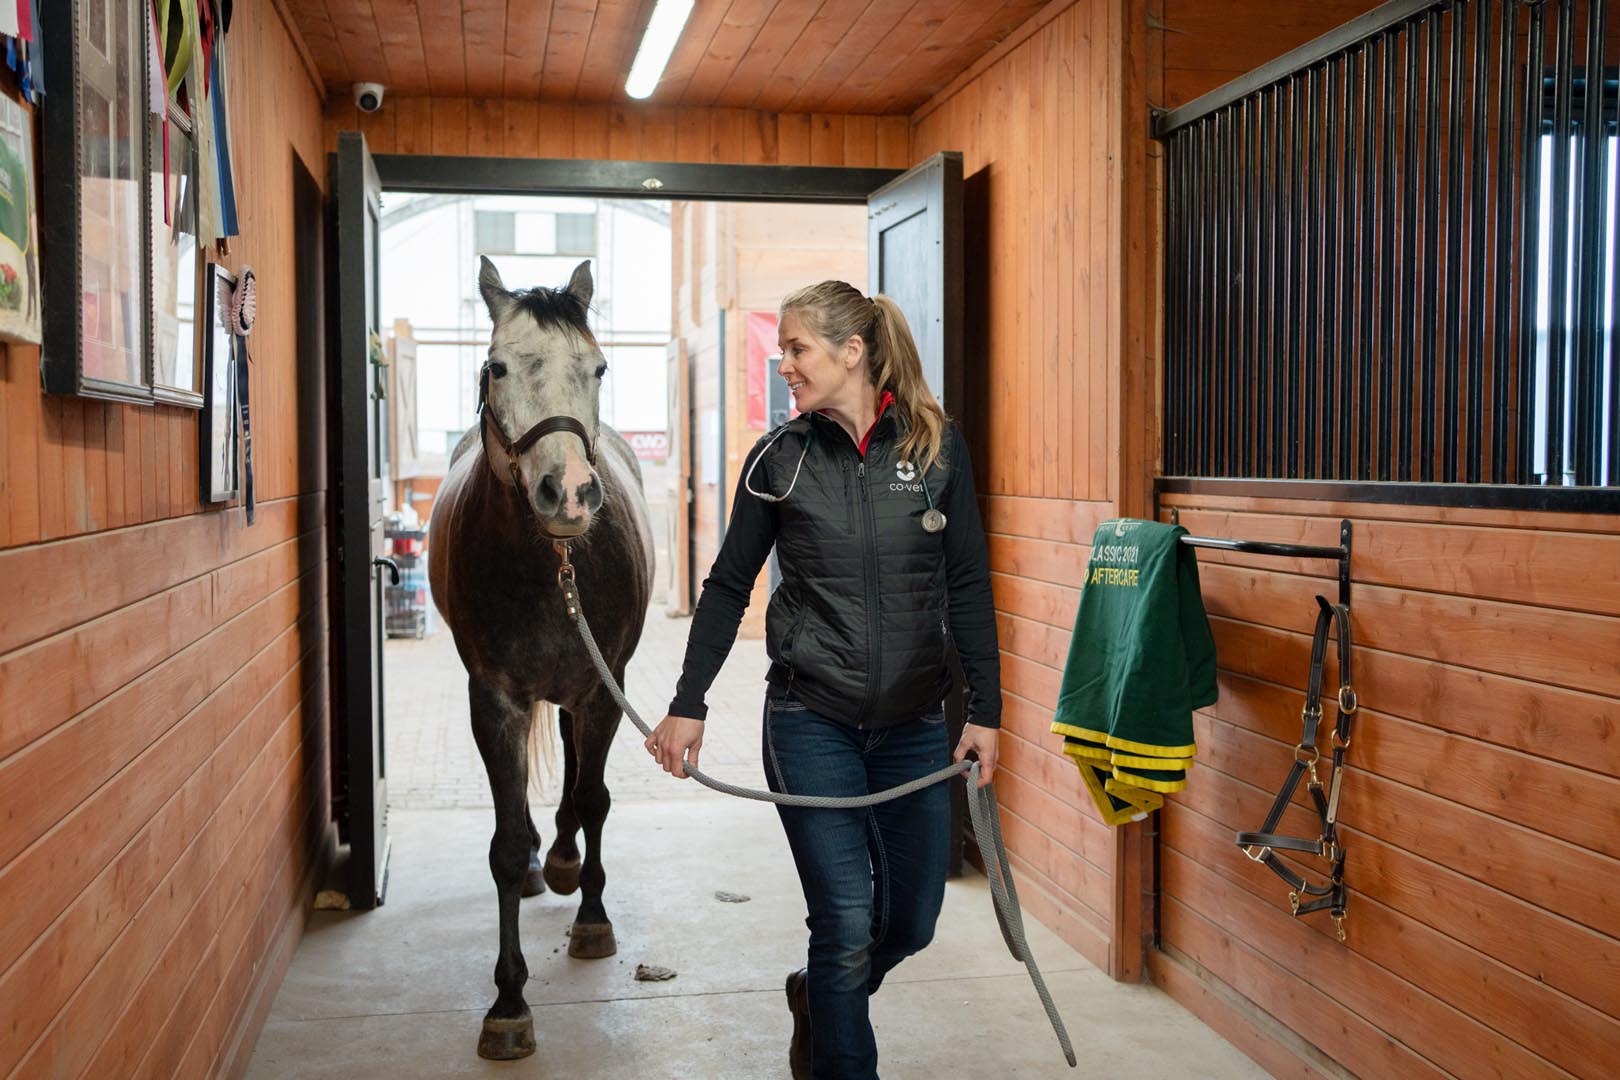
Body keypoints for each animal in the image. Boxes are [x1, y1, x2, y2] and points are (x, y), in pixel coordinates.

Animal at [428, 256, 654, 1061]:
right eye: (495, 366)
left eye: (599, 366)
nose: (570, 494)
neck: (551, 564)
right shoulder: (493, 698)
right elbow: (501, 842)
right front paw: (508, 1000)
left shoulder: (603, 689)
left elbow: (593, 800)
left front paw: (591, 917)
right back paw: (538, 862)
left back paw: (561, 863)